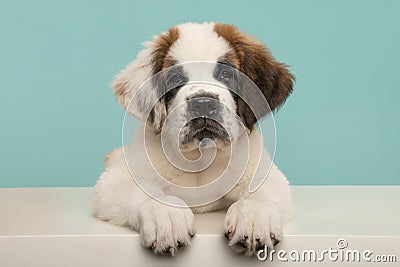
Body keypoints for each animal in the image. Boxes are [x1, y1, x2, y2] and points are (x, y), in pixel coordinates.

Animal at [93, 22, 294, 256]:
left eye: (226, 74)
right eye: (176, 79)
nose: (204, 103)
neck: (201, 158)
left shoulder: (265, 173)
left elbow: (259, 193)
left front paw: (253, 218)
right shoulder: (115, 180)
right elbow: (146, 191)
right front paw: (167, 215)